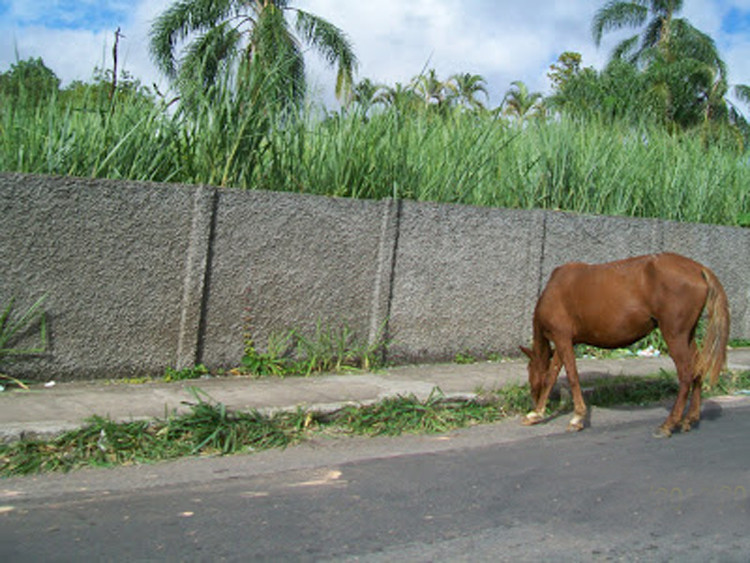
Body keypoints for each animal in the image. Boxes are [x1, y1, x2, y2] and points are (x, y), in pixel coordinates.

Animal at [524, 253, 728, 438]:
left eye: (528, 369)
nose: (532, 399)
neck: (554, 290)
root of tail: (698, 268)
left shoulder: (562, 338)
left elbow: (571, 376)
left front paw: (577, 417)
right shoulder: (563, 342)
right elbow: (551, 376)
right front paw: (537, 413)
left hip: (674, 335)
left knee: (686, 375)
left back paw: (669, 423)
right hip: (688, 335)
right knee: (698, 369)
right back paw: (690, 418)